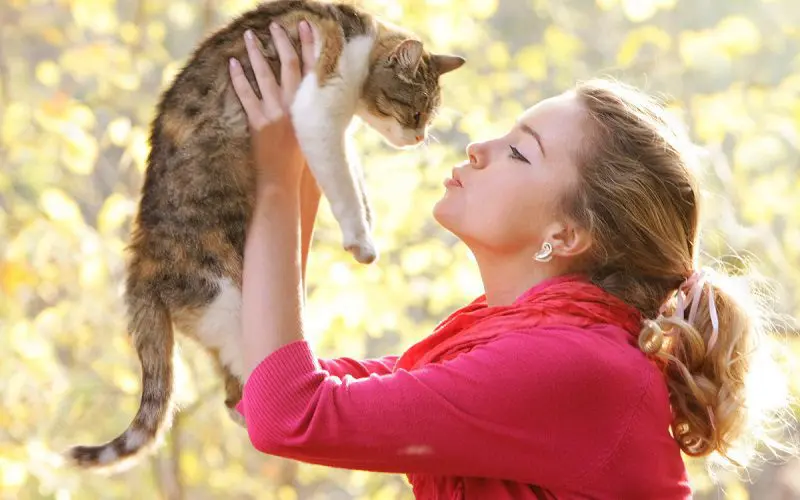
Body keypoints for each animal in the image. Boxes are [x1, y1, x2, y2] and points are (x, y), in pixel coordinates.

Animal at [67, 0, 468, 468]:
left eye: (427, 118)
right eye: (416, 112)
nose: (419, 137)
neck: (357, 34)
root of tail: (141, 261)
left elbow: (355, 179)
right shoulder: (318, 112)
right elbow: (345, 185)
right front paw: (362, 240)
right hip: (231, 302)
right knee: (254, 394)